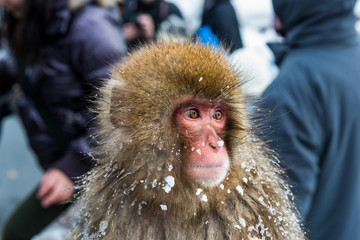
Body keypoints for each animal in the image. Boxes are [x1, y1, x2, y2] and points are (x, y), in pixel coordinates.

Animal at [74, 40, 306, 239]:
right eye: (193, 114)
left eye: (218, 115)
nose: (216, 144)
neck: (182, 205)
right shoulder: (106, 204)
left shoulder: (258, 201)